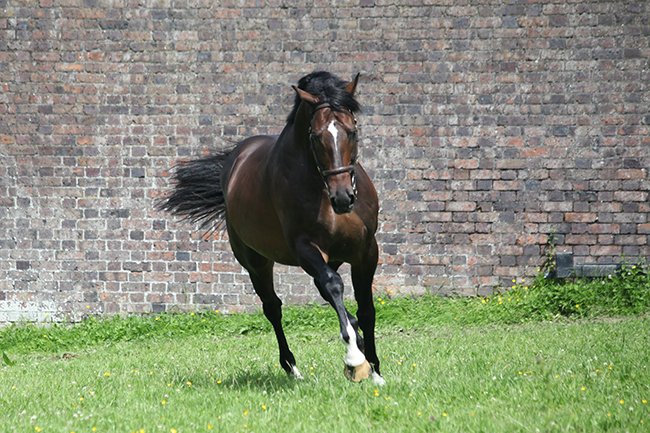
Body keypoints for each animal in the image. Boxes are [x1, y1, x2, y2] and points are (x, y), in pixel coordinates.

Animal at [158, 71, 384, 385]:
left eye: (352, 130)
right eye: (316, 136)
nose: (343, 198)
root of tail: (234, 160)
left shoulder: (366, 251)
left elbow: (366, 309)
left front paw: (375, 370)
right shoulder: (306, 249)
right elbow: (334, 287)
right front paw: (354, 358)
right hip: (256, 262)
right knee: (274, 307)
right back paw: (292, 368)